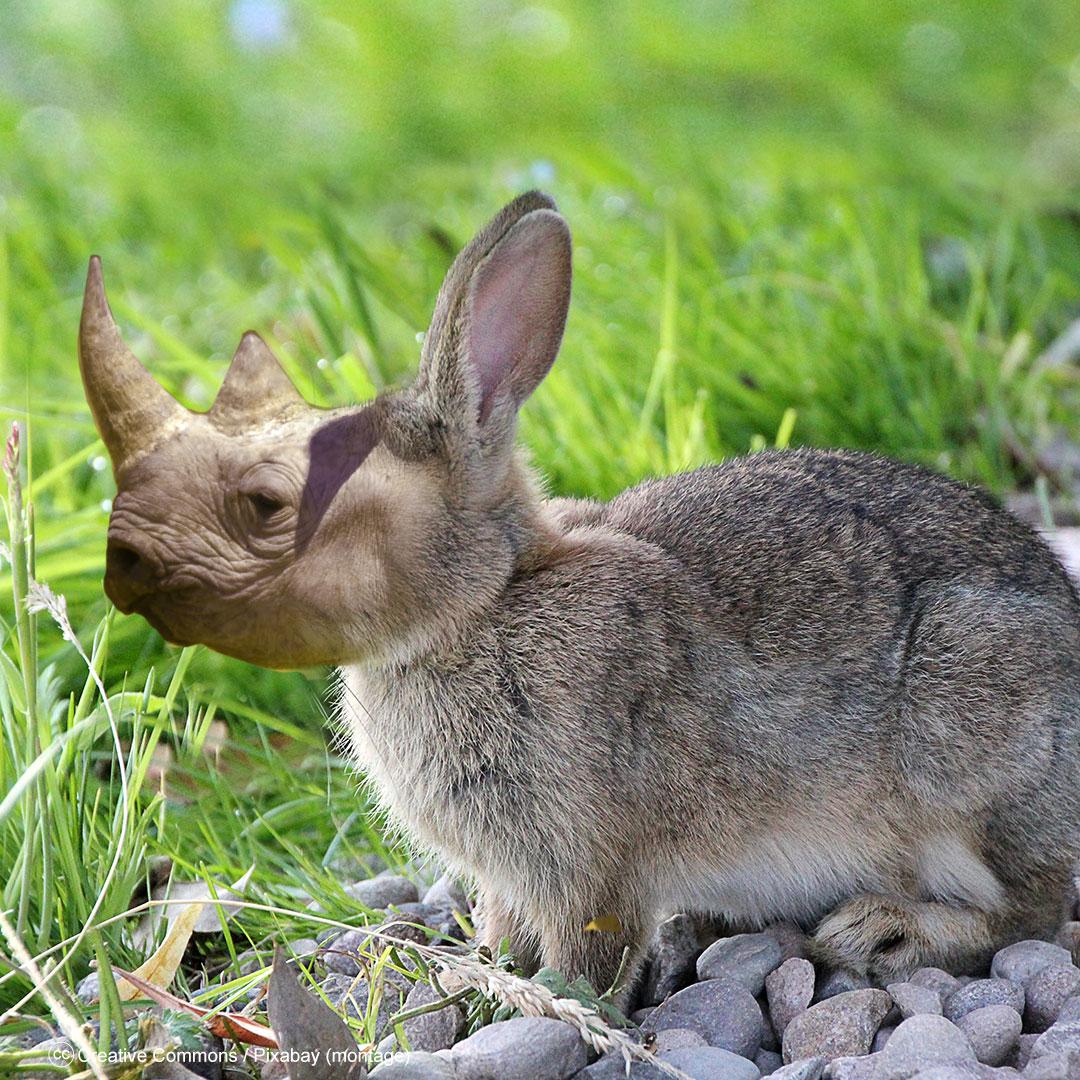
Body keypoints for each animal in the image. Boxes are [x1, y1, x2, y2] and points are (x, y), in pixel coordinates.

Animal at [82, 192, 1080, 1002]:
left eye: (269, 506)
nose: (146, 592)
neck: (482, 609)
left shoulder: (587, 862)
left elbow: (588, 949)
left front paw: (541, 1003)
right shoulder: (509, 871)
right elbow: (504, 922)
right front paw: (486, 972)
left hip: (971, 734)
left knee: (1031, 908)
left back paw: (885, 930)